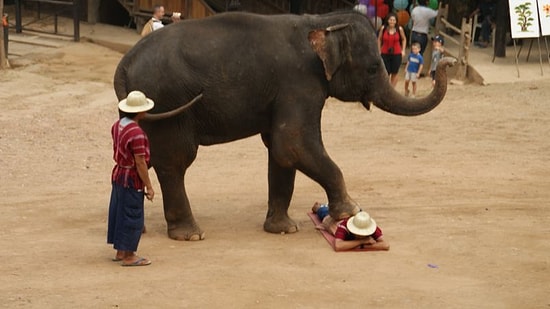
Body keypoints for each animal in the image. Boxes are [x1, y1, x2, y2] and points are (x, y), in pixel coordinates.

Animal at [113, 10, 458, 241]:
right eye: (374, 67)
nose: (448, 62)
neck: (319, 22)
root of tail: (125, 63)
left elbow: (280, 152)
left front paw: (284, 229)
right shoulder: (299, 83)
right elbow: (292, 143)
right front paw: (349, 212)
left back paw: (144, 228)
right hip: (168, 101)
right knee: (176, 160)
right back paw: (190, 234)